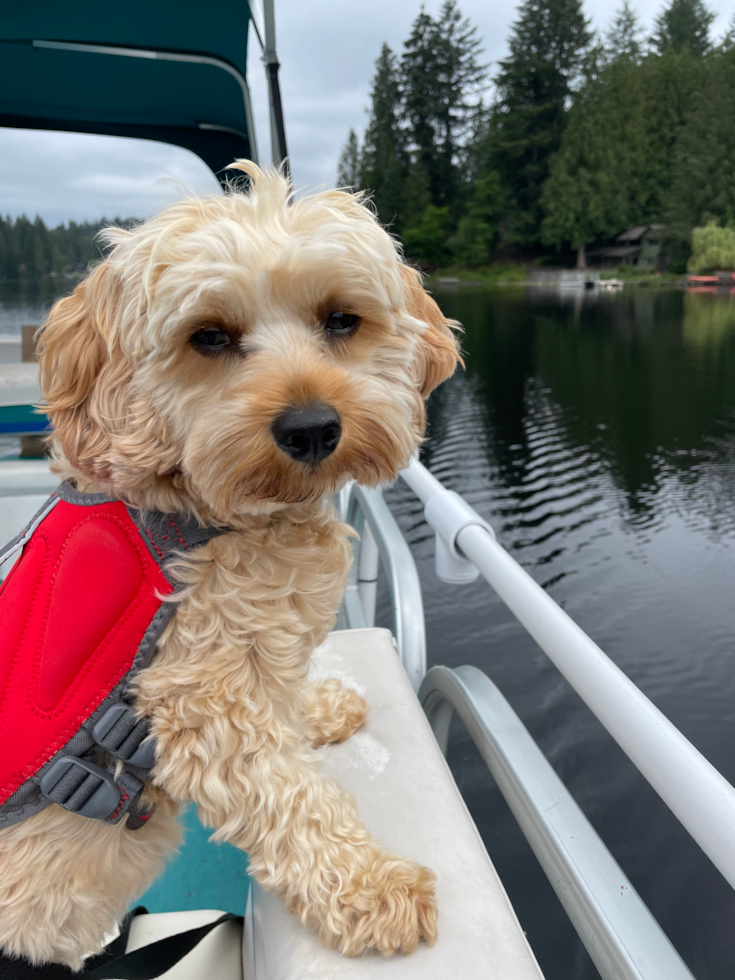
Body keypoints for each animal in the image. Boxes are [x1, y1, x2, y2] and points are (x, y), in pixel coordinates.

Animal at [0, 161, 460, 964]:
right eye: (209, 336)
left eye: (341, 320)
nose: (311, 428)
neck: (200, 515)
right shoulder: (202, 702)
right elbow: (291, 800)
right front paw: (374, 888)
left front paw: (319, 709)